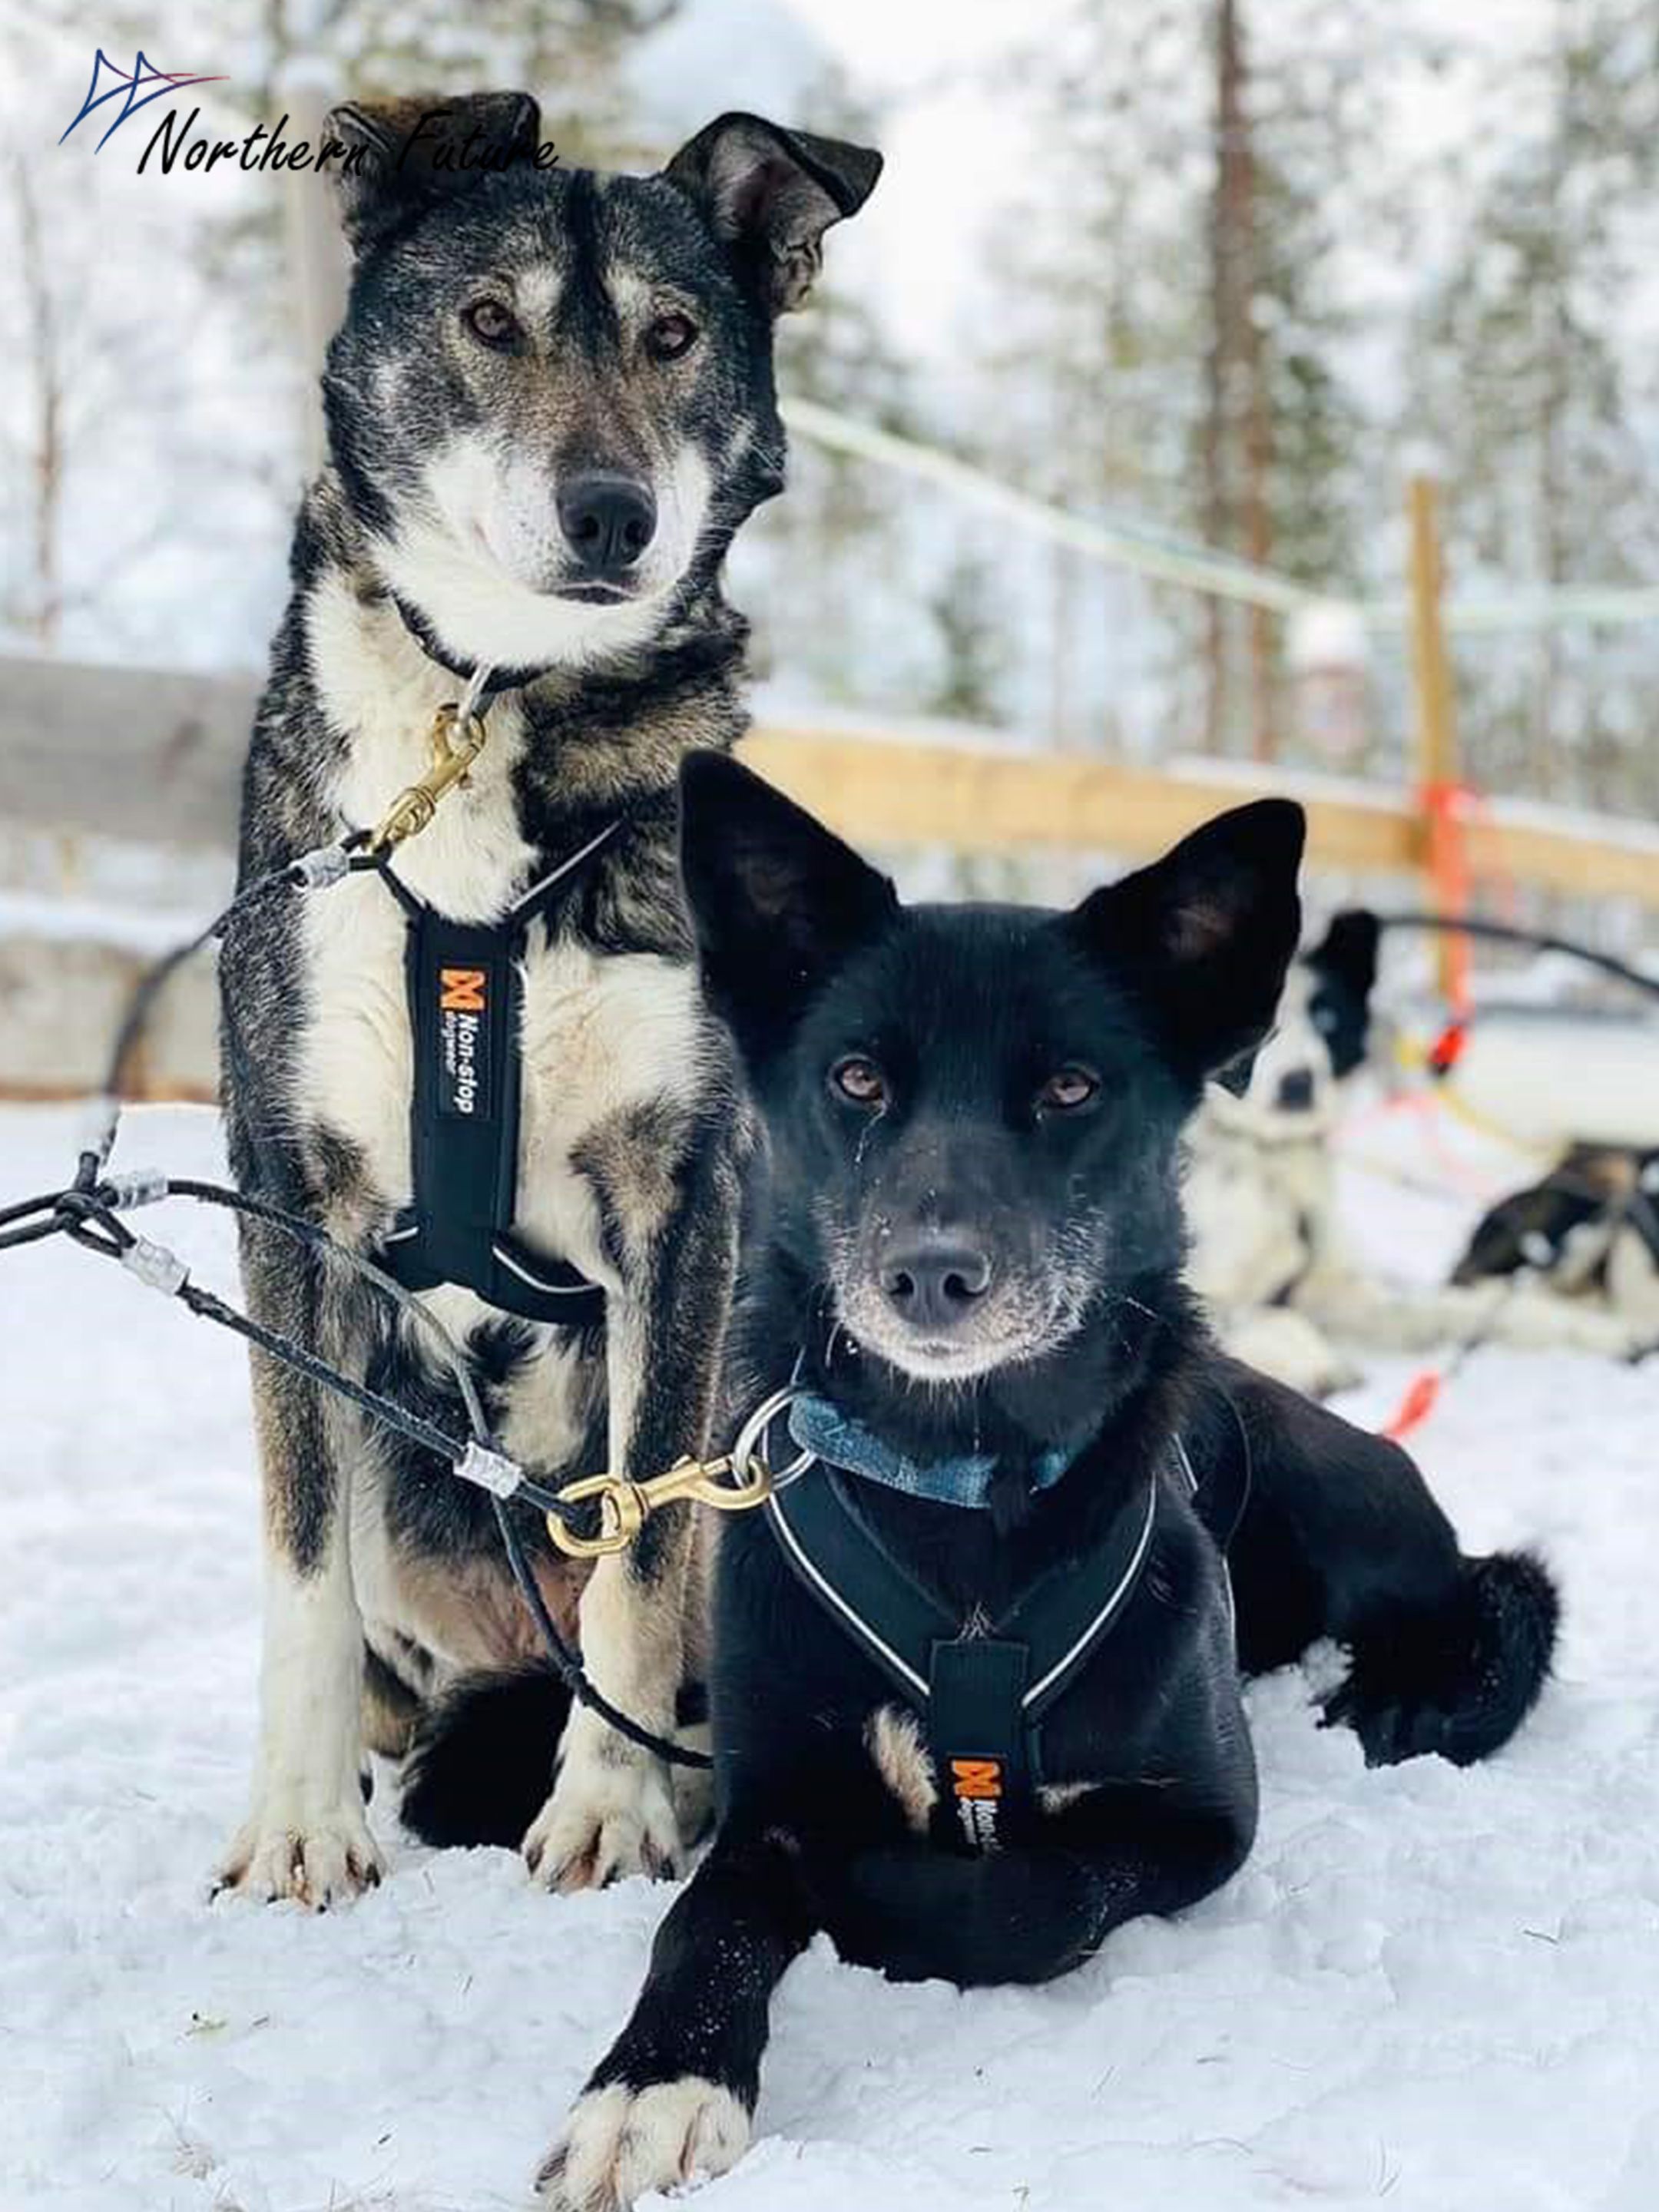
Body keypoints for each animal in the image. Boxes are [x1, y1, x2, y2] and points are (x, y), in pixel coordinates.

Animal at [217, 94, 885, 1911]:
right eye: (488, 320)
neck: (492, 715)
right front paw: (295, 1817)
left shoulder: (684, 1200)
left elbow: (646, 1543)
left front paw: (608, 1806)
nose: (610, 514)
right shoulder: (289, 1200)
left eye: (670, 337)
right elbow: (297, 1552)